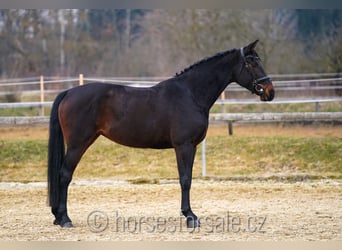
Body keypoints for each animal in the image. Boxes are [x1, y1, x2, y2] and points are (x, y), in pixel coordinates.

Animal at [47, 39, 276, 229]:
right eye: (252, 63)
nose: (270, 91)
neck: (190, 94)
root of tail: (68, 92)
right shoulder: (184, 145)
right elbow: (185, 179)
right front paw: (190, 217)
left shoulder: (190, 146)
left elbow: (187, 177)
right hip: (78, 144)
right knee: (64, 175)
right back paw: (64, 219)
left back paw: (58, 217)